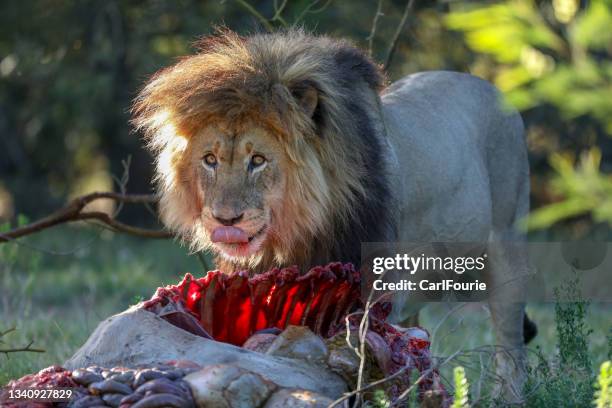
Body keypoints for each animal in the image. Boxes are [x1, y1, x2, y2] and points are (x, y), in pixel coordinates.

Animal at [133, 28, 532, 402]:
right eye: (210, 160)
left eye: (258, 160)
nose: (225, 220)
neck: (301, 233)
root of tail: (489, 86)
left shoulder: (373, 295)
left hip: (508, 252)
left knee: (510, 349)